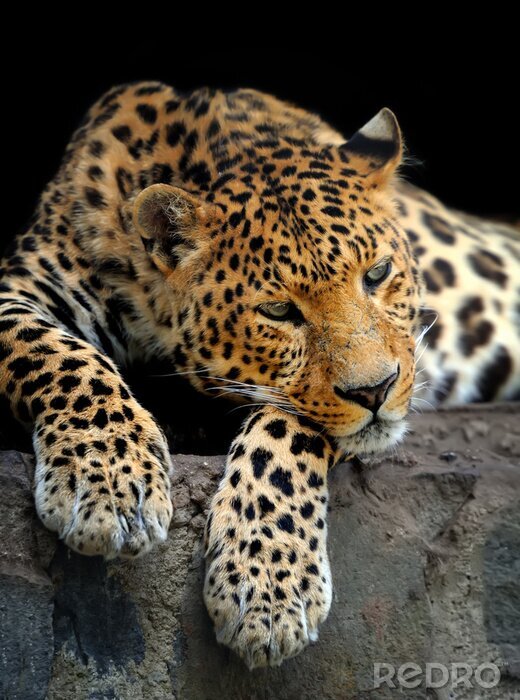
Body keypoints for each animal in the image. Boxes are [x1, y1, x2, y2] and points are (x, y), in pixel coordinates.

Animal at [1, 81, 518, 669]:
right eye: (277, 311)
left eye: (378, 273)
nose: (376, 390)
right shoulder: (19, 291)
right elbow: (56, 355)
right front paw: (109, 479)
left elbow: (285, 431)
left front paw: (266, 585)